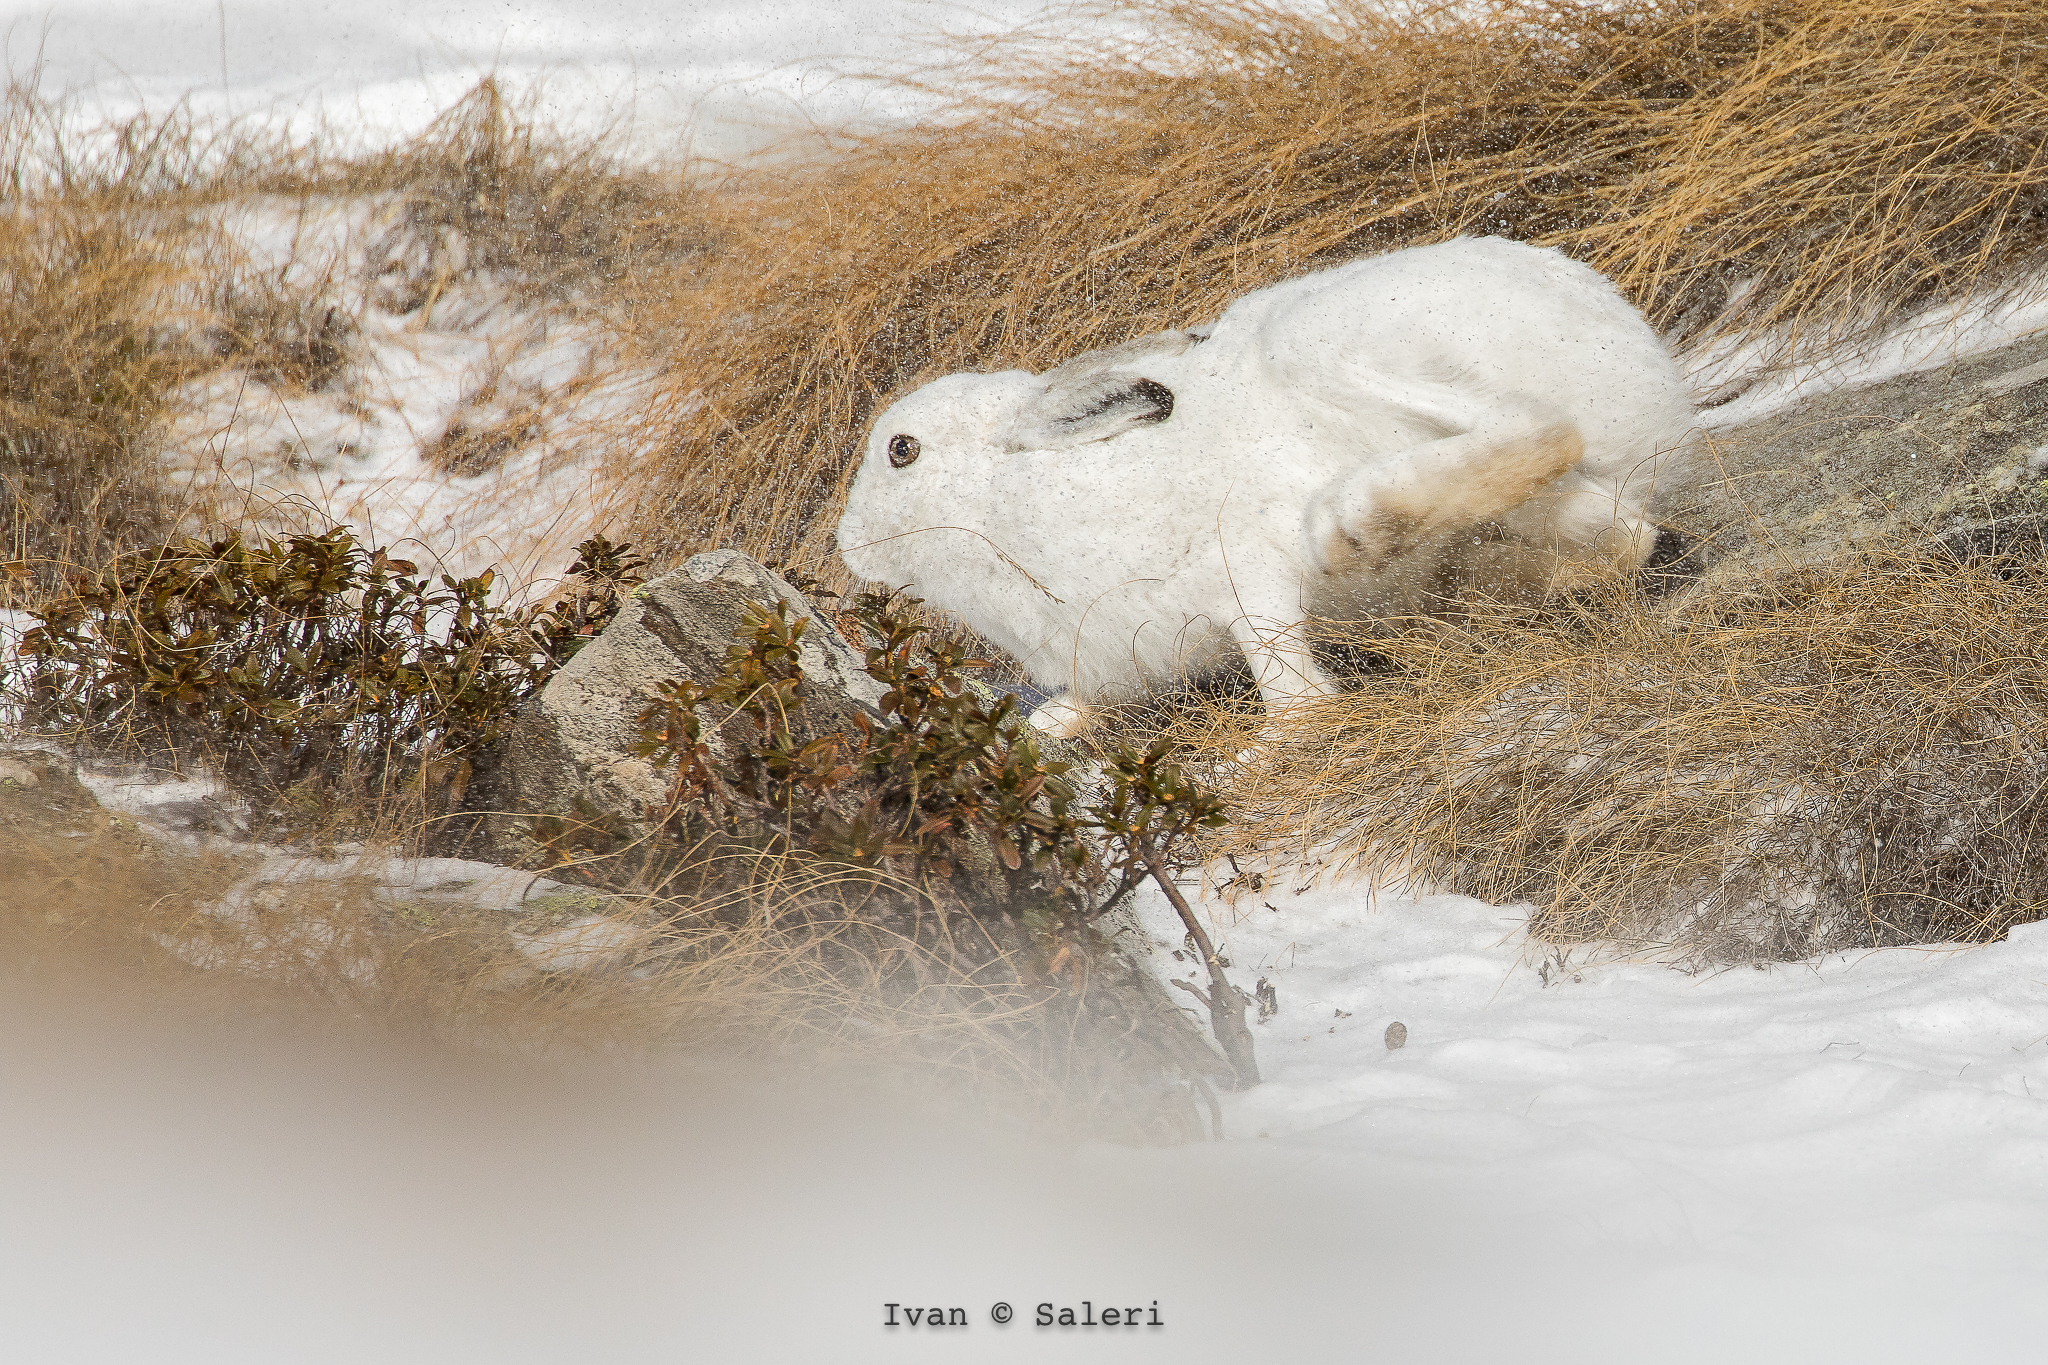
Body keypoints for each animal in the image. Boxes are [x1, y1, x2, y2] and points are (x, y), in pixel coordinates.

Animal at [836, 237, 1696, 738]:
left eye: (901, 451)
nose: (847, 545)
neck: (1002, 497)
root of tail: (1633, 353)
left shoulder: (1242, 570)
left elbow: (1295, 697)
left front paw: (1258, 753)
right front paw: (1043, 728)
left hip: (1332, 347)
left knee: (1539, 429)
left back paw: (1358, 525)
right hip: (1552, 502)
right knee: (1625, 534)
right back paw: (1478, 589)